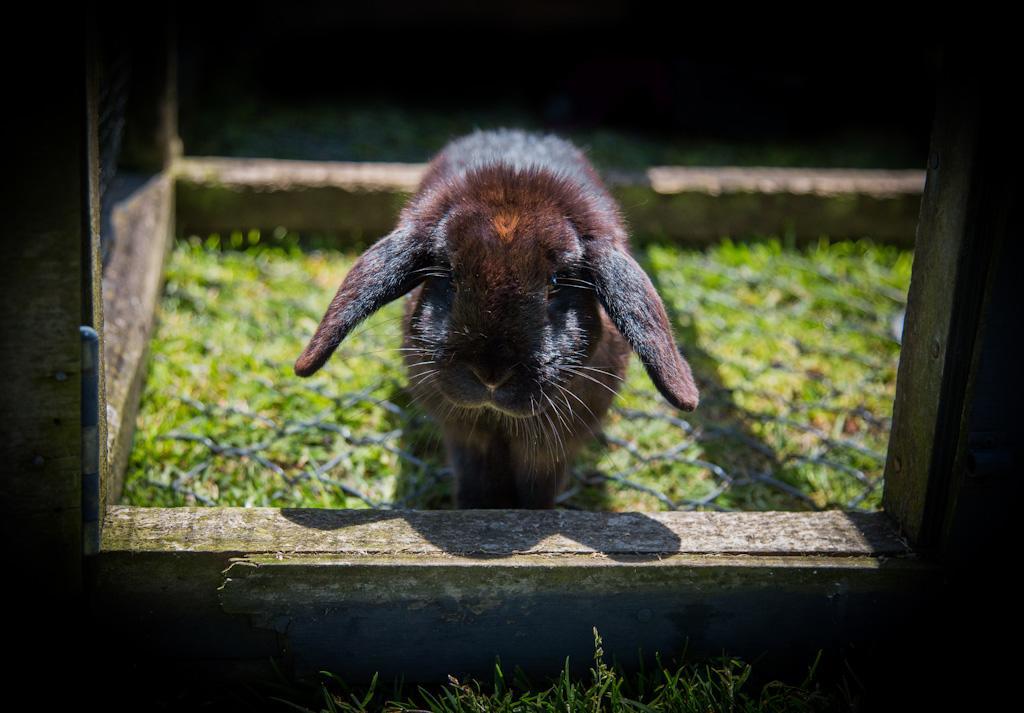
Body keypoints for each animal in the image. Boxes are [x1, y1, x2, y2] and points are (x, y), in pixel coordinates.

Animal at [292, 128, 700, 506]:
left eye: (555, 282)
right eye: (449, 274)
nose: (490, 375)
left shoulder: (551, 451)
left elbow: (538, 491)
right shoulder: (468, 440)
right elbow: (477, 483)